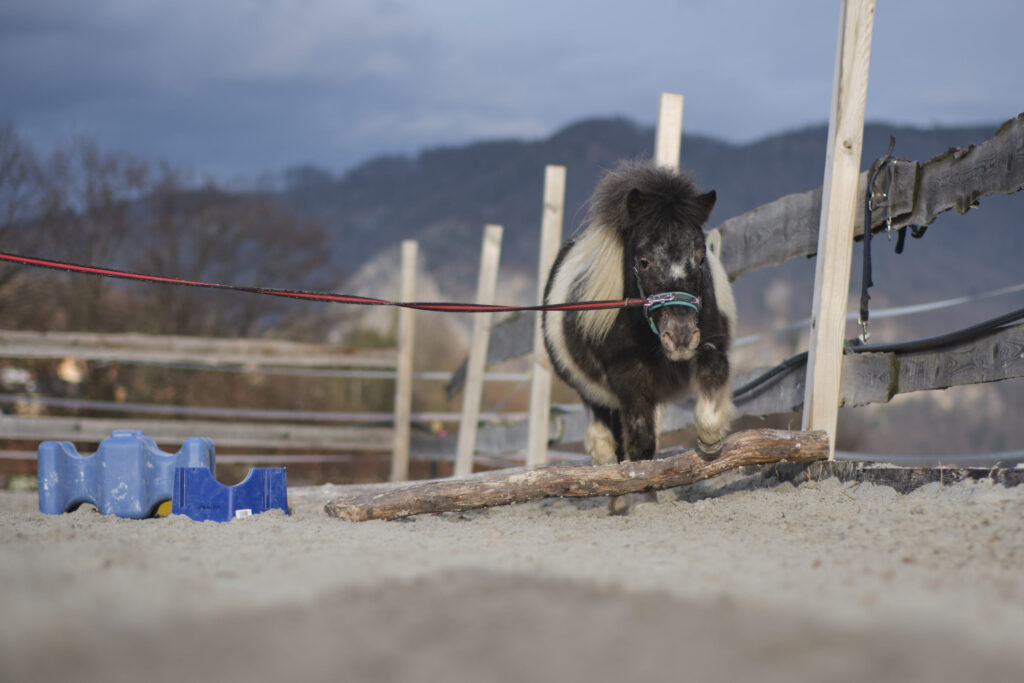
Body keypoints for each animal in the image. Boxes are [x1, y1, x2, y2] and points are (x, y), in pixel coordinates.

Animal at [542, 160, 736, 513]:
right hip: (595, 394)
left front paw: (710, 440)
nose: (680, 336)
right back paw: (617, 499)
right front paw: (644, 496)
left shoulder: (711, 343)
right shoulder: (628, 378)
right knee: (607, 443)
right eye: (644, 261)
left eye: (701, 257)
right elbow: (641, 443)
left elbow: (713, 375)